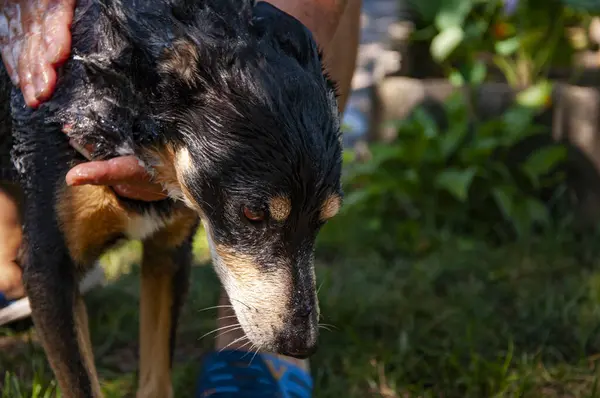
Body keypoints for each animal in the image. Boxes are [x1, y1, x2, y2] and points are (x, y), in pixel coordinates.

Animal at [0, 0, 342, 396]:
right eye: (253, 213)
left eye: (324, 220)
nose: (301, 345)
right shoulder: (49, 270)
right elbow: (82, 383)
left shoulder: (169, 253)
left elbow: (157, 374)